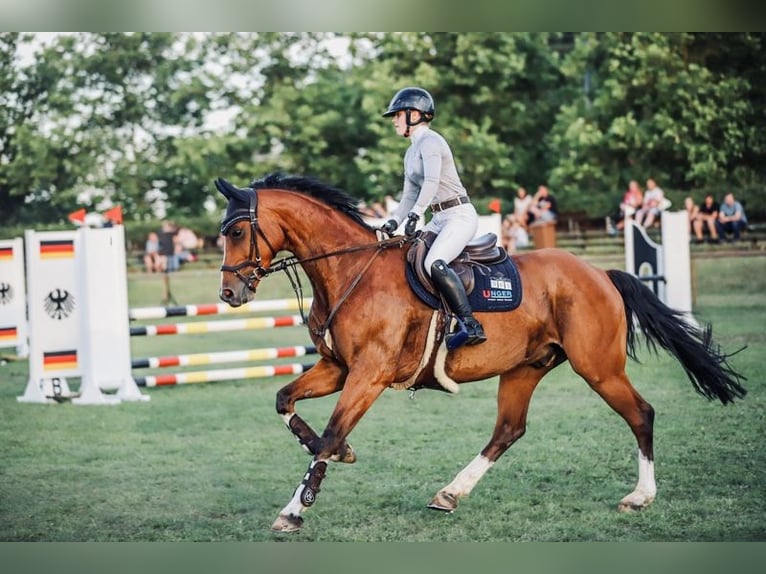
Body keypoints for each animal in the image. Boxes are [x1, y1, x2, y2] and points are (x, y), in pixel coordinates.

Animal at [216, 174, 752, 536]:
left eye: (237, 232)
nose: (229, 293)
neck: (350, 272)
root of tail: (599, 273)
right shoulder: (336, 368)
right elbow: (286, 402)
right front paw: (334, 454)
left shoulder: (368, 374)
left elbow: (329, 433)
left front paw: (295, 508)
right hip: (525, 368)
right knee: (508, 430)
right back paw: (450, 493)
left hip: (597, 367)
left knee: (640, 413)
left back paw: (640, 497)